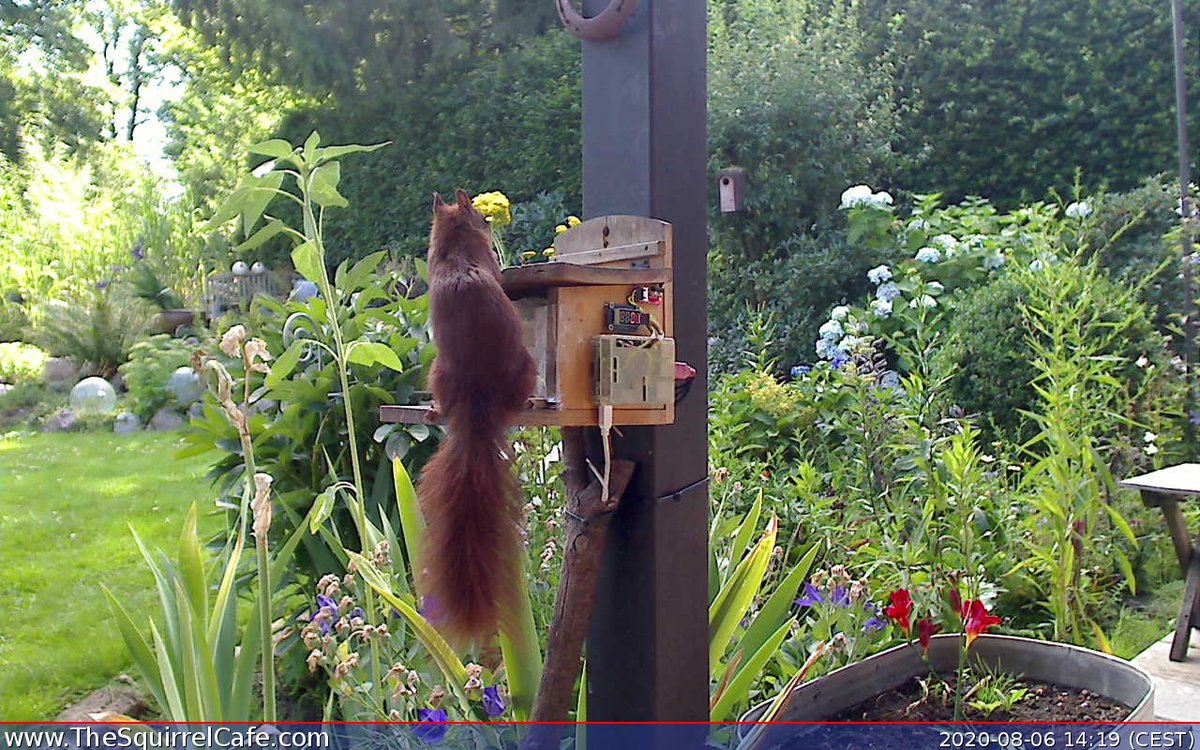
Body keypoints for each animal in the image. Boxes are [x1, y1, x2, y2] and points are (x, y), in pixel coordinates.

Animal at [417, 189, 538, 644]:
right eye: (483, 219)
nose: (488, 222)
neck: (454, 242)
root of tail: (477, 395)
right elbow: (498, 269)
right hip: (527, 368)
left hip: (438, 373)